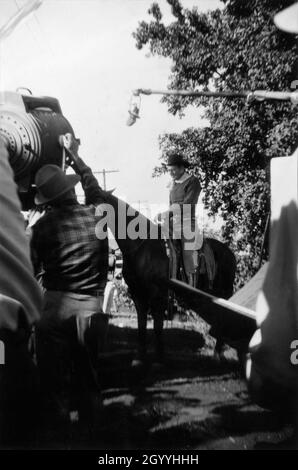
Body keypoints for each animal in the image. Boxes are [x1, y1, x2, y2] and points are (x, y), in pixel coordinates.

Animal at [95, 190, 235, 364]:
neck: (142, 248)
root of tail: (230, 253)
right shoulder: (138, 295)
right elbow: (142, 326)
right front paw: (140, 357)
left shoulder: (158, 295)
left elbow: (157, 327)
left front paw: (159, 358)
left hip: (224, 294)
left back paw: (217, 355)